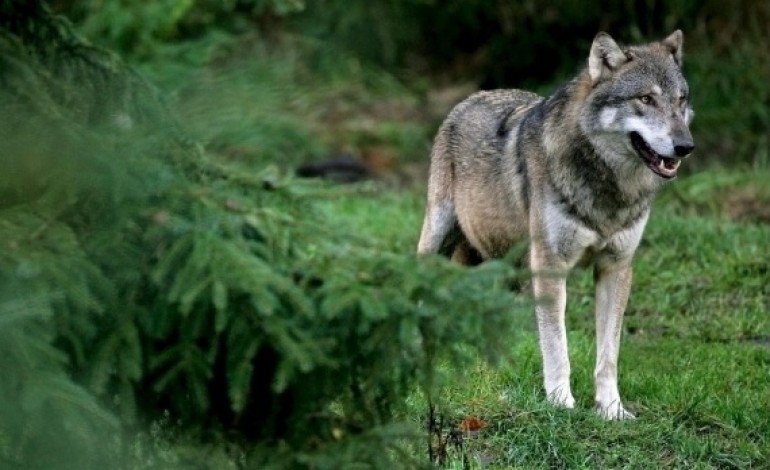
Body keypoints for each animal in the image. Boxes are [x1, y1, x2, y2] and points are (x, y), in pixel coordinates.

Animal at [416, 29, 692, 418]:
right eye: (645, 99)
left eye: (681, 100)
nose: (686, 146)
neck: (608, 190)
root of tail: (471, 97)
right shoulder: (550, 267)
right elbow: (556, 346)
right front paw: (561, 403)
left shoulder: (616, 268)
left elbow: (608, 356)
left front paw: (611, 410)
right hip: (440, 241)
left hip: (504, 269)